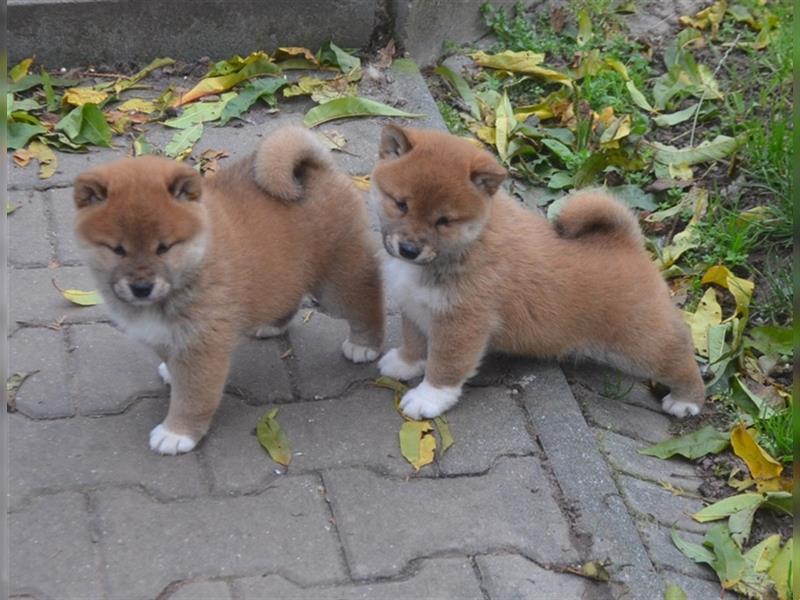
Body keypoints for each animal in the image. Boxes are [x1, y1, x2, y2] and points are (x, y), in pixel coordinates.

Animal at [75, 127, 384, 454]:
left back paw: (364, 344)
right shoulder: (165, 335)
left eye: (164, 248)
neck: (196, 260)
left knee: (366, 298)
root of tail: (316, 168)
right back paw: (271, 325)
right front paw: (171, 373)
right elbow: (172, 361)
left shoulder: (203, 344)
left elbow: (194, 397)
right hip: (285, 273)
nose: (141, 287)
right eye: (117, 249)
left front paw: (177, 433)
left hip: (335, 282)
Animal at [372, 124, 704, 420]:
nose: (409, 250)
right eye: (400, 205)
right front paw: (404, 363)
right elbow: (415, 342)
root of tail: (627, 243)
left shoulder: (463, 324)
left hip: (639, 345)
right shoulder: (415, 307)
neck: (468, 245)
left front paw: (427, 398)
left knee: (679, 351)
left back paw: (687, 400)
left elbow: (445, 366)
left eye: (444, 221)